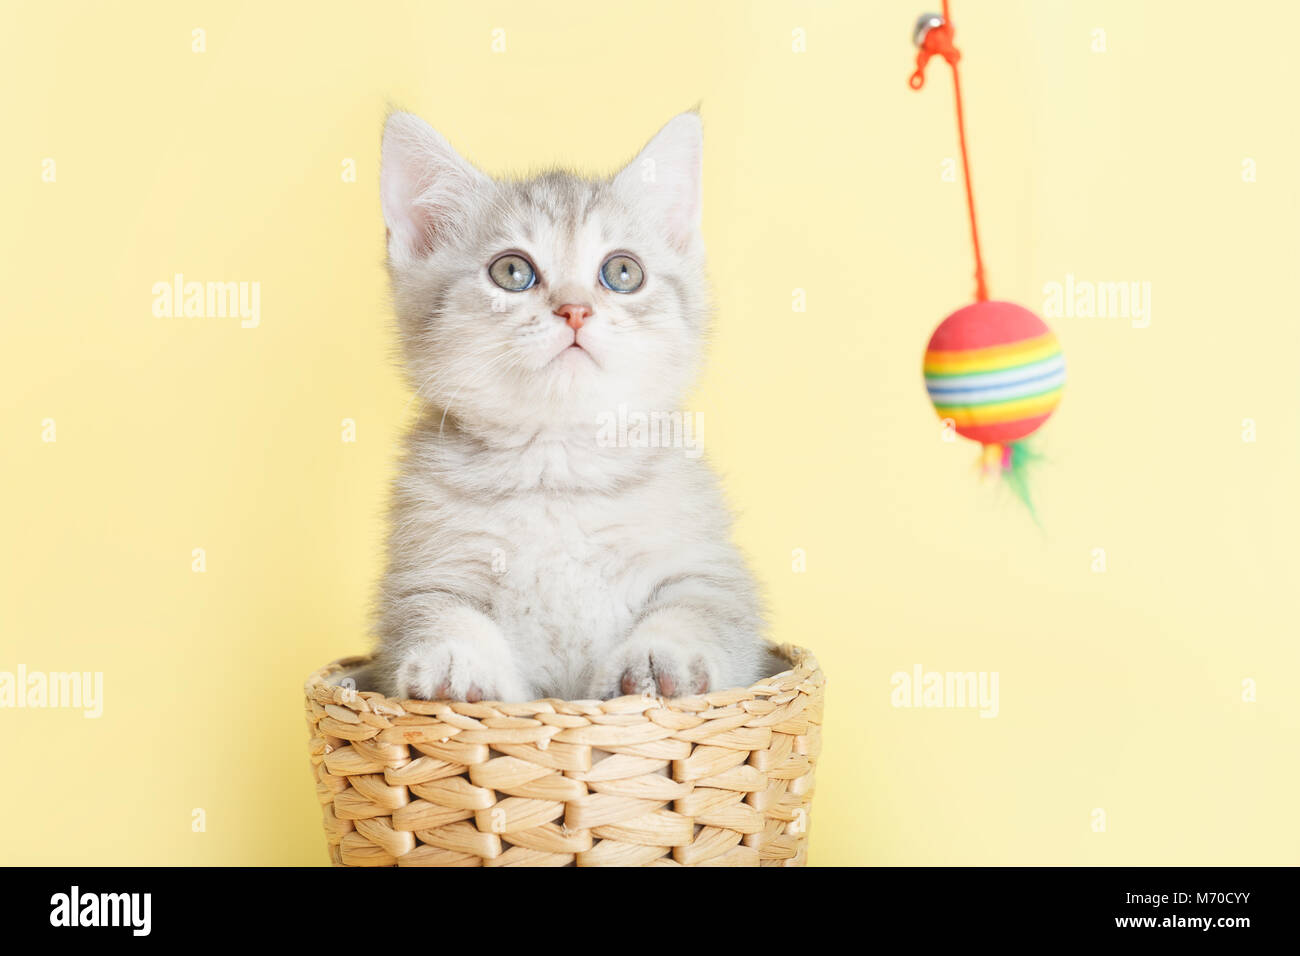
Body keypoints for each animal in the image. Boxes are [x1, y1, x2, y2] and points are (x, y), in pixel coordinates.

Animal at [371, 110, 764, 702]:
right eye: (512, 272)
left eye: (623, 272)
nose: (575, 309)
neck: (558, 468)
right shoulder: (425, 573)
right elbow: (434, 613)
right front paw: (455, 657)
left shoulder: (706, 567)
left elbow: (702, 610)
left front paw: (660, 655)